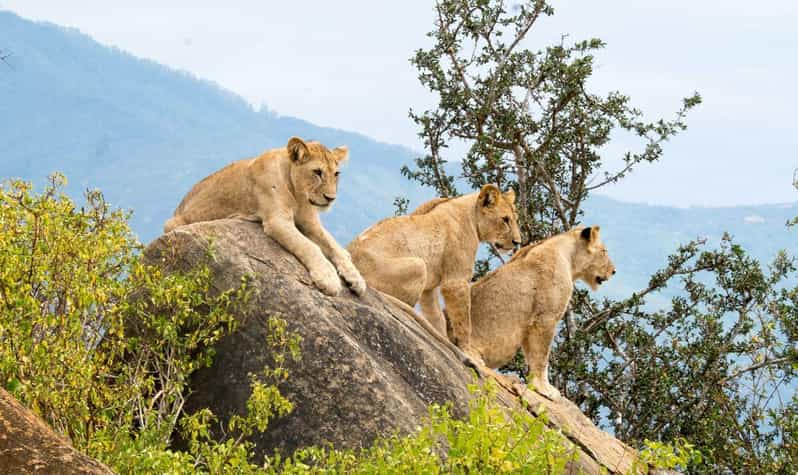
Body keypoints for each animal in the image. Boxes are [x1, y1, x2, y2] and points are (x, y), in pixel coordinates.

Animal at [163, 135, 368, 298]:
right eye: (317, 172)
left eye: (336, 174)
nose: (331, 198)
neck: (298, 194)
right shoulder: (277, 221)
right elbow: (310, 246)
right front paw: (328, 279)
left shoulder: (310, 222)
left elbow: (333, 245)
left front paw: (356, 278)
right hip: (171, 223)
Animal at [346, 186, 520, 356]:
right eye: (505, 220)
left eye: (515, 219)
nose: (517, 242)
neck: (471, 215)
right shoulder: (455, 282)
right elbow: (464, 320)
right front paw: (467, 351)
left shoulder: (429, 290)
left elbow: (436, 317)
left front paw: (444, 341)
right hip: (419, 265)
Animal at [468, 225, 620, 400]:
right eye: (604, 251)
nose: (614, 271)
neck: (568, 257)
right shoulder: (545, 318)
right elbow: (542, 357)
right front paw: (545, 389)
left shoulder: (530, 324)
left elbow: (532, 356)